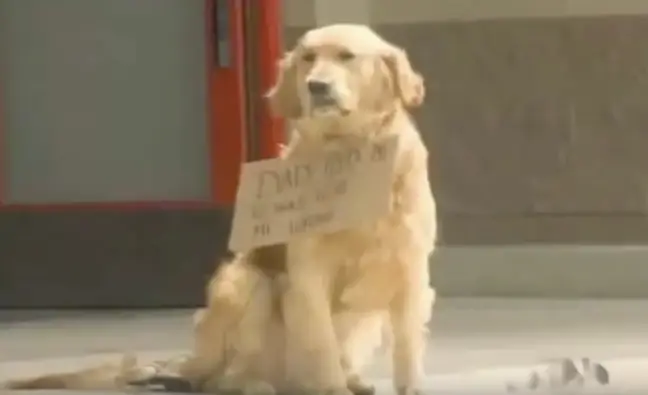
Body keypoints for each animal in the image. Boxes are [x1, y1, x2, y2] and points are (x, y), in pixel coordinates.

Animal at [3, 24, 436, 395]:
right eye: (308, 58)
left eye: (346, 56)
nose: (317, 86)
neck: (348, 151)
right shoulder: (309, 273)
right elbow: (320, 342)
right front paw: (331, 386)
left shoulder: (411, 270)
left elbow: (408, 346)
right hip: (242, 283)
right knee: (225, 379)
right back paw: (257, 385)